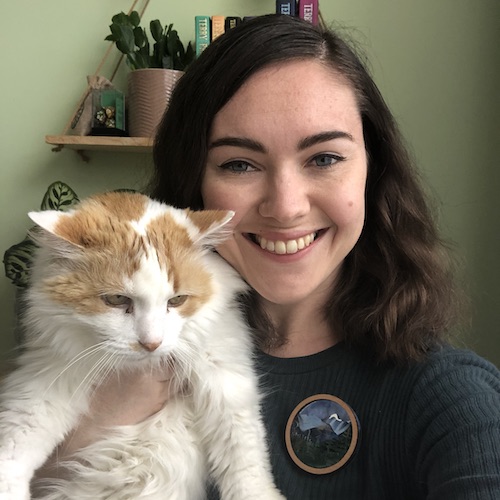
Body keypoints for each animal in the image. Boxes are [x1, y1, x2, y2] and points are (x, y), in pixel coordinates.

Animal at [0, 192, 286, 500]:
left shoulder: (225, 381)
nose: (151, 343)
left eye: (177, 300)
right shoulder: (50, 377)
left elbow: (245, 463)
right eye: (116, 299)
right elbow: (18, 440)